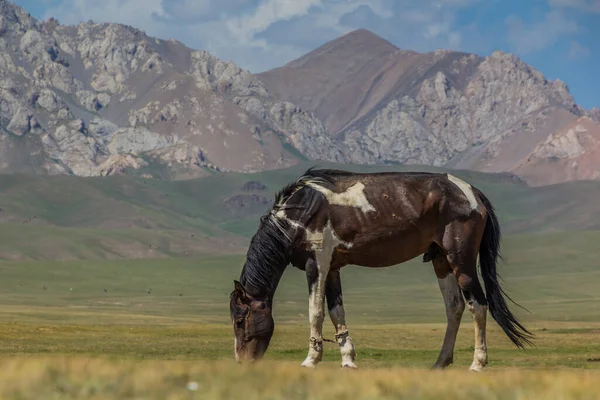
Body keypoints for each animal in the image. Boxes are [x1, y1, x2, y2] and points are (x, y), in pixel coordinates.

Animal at [230, 167, 536, 370]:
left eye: (239, 321)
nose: (242, 362)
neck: (300, 211)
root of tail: (472, 193)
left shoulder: (316, 263)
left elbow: (315, 312)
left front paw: (311, 360)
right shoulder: (333, 267)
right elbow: (336, 312)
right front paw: (348, 360)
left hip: (460, 260)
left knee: (478, 306)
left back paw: (477, 364)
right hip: (440, 260)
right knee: (454, 307)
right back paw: (440, 363)